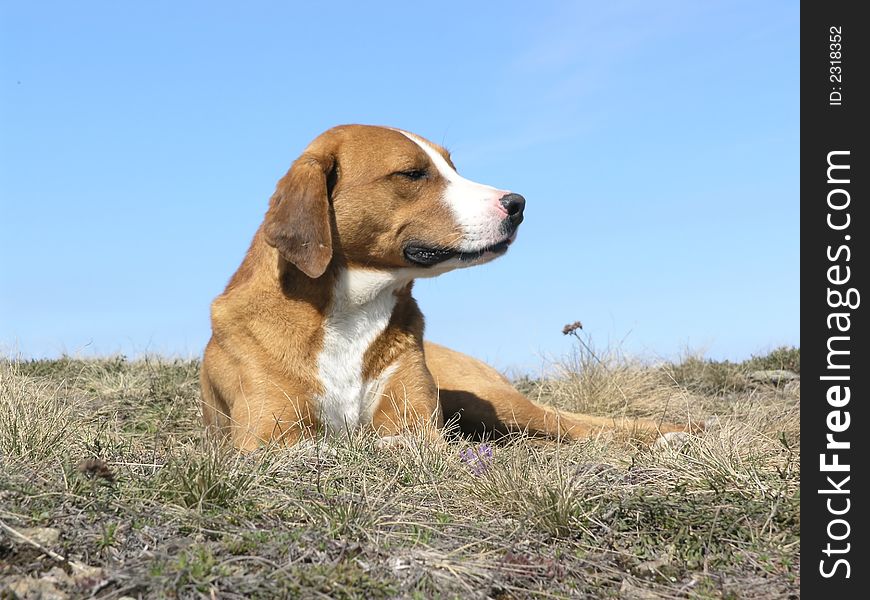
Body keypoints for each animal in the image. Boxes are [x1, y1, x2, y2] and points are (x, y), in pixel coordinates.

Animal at [201, 124, 692, 448]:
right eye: (413, 173)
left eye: (452, 166)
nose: (518, 203)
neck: (350, 313)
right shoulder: (268, 436)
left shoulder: (416, 423)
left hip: (497, 404)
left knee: (577, 427)